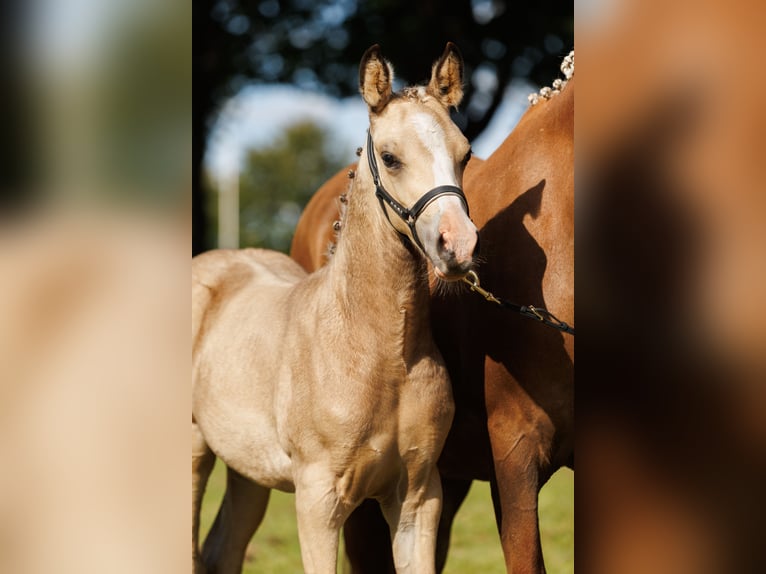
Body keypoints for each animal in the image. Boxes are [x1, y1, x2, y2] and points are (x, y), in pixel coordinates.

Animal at [192, 43, 479, 574]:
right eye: (390, 157)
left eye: (465, 154)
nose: (459, 246)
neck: (376, 351)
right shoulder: (318, 500)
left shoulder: (418, 497)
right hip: (196, 451)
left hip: (247, 469)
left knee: (223, 549)